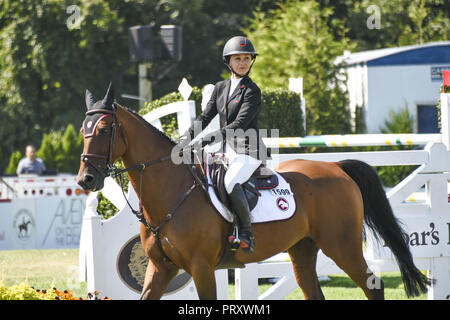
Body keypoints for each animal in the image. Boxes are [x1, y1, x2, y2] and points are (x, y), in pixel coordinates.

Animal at [76, 84, 432, 298]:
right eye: (83, 130)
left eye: (105, 129)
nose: (86, 180)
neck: (170, 193)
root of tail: (337, 169)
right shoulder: (161, 268)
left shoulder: (202, 268)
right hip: (303, 250)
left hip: (342, 246)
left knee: (373, 286)